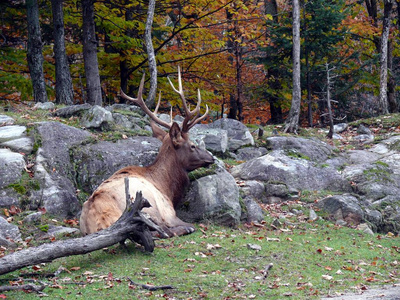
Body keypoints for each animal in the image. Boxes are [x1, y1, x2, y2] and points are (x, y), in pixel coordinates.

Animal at [79, 68, 214, 239]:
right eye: (192, 146)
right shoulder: (168, 212)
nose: (211, 157)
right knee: (163, 231)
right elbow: (185, 225)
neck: (167, 187)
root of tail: (98, 222)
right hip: (145, 209)